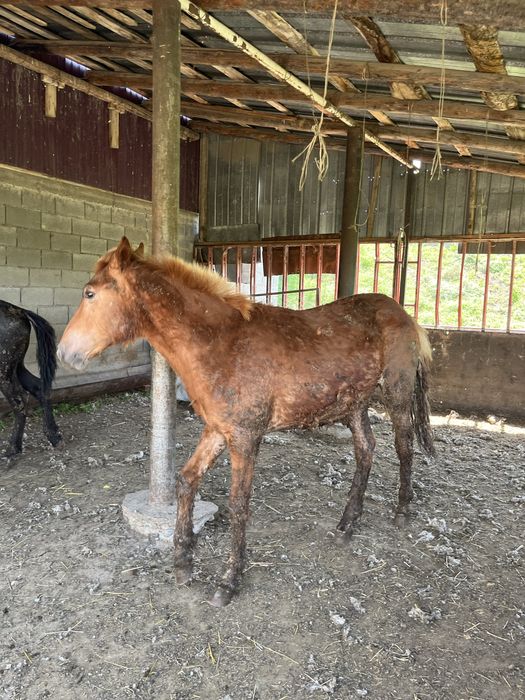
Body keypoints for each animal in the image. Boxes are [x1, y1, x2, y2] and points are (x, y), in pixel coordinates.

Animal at [0, 301, 62, 458]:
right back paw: (54, 436)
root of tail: (20, 311)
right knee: (39, 388)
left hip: (4, 371)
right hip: (17, 366)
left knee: (19, 402)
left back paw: (13, 449)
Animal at [57, 236, 435, 607]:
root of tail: (404, 314)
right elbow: (186, 481)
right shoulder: (216, 430)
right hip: (355, 406)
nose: (64, 354)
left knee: (403, 447)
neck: (223, 343)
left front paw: (229, 580)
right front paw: (183, 563)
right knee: (365, 449)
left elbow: (239, 504)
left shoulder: (245, 437)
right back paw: (347, 523)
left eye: (89, 293)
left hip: (397, 395)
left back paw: (402, 511)